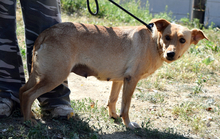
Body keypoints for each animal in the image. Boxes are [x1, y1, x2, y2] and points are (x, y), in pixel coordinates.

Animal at [18, 18, 208, 129]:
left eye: (182, 40)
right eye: (167, 37)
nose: (170, 54)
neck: (154, 42)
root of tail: (46, 33)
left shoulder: (119, 80)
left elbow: (113, 100)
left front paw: (114, 116)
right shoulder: (131, 80)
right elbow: (126, 106)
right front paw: (128, 124)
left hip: (42, 74)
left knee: (22, 90)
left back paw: (28, 114)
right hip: (55, 76)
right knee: (28, 95)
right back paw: (28, 121)